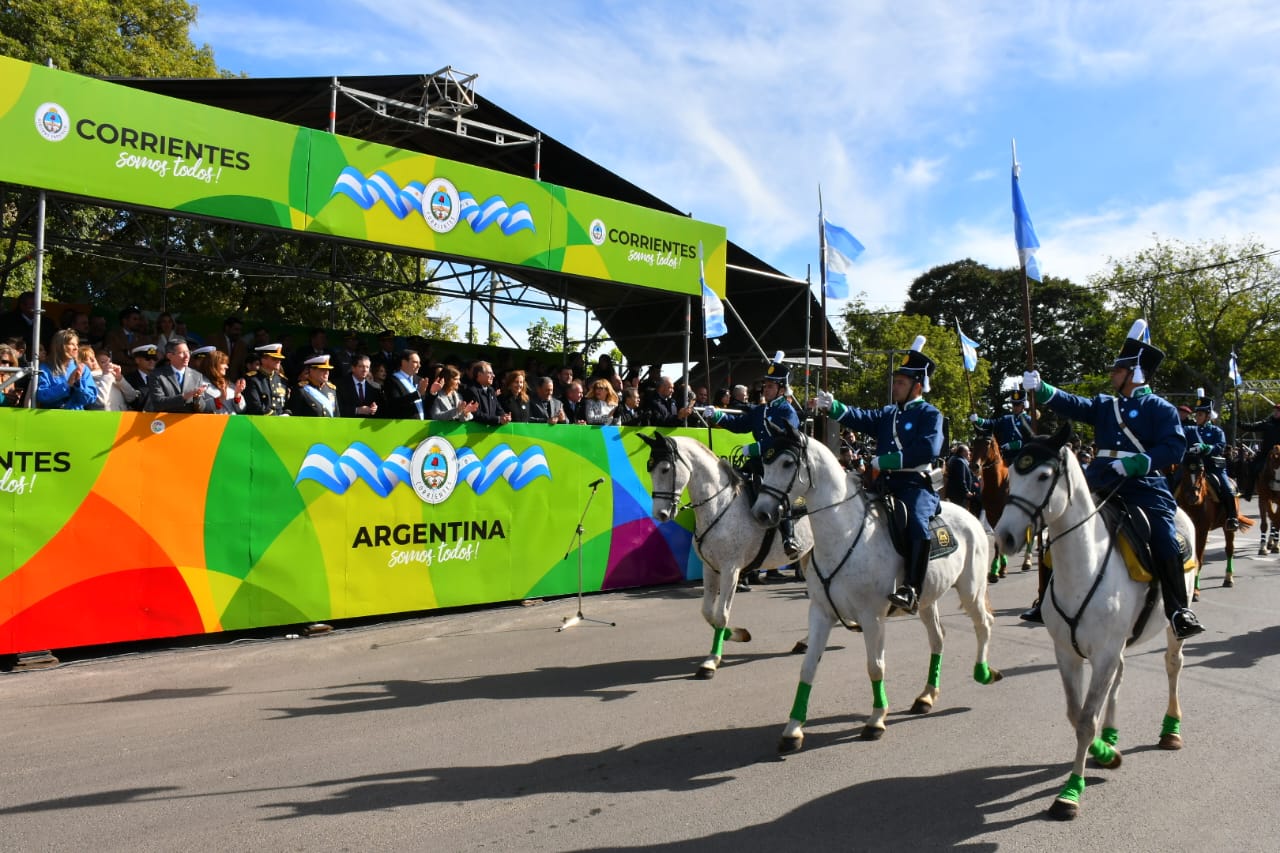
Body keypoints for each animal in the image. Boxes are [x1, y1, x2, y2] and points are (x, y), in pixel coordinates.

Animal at [639, 432, 813, 680]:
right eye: (649, 468)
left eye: (665, 469)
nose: (660, 514)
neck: (719, 506)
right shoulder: (710, 568)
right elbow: (707, 612)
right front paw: (738, 635)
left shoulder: (731, 570)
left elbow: (721, 614)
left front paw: (711, 661)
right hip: (808, 559)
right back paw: (805, 642)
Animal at [750, 423, 1001, 749]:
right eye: (764, 463)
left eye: (787, 463)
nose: (761, 513)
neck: (843, 535)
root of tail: (969, 514)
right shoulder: (820, 613)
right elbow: (807, 668)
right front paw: (793, 729)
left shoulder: (872, 618)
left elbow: (875, 665)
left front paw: (876, 720)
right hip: (926, 600)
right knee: (938, 639)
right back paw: (926, 696)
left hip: (971, 590)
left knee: (983, 624)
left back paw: (982, 672)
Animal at [992, 425, 1196, 821]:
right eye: (1011, 476)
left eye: (1043, 476)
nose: (1004, 536)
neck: (1082, 566)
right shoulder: (1068, 654)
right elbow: (1076, 714)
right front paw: (1105, 751)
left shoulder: (1101, 653)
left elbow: (1086, 719)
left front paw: (1070, 792)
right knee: (1121, 673)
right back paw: (1112, 734)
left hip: (1171, 624)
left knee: (1173, 665)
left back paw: (1171, 729)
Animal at [1174, 456, 1252, 596]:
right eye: (1184, 471)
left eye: (1202, 472)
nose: (1193, 497)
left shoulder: (1202, 531)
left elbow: (1198, 559)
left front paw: (1195, 590)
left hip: (1228, 527)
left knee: (1229, 550)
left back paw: (1228, 579)